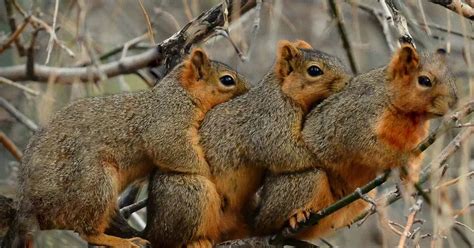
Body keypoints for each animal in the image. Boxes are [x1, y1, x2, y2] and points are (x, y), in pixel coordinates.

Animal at [0, 48, 252, 248]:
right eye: (227, 80)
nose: (250, 90)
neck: (180, 92)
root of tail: (28, 203)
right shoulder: (166, 121)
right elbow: (174, 149)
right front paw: (213, 179)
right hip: (95, 183)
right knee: (87, 231)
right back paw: (120, 241)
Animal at [254, 45, 458, 240]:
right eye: (425, 81)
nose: (453, 104)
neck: (411, 117)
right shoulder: (355, 120)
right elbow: (368, 147)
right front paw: (401, 161)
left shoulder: (417, 139)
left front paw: (411, 176)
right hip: (299, 183)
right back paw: (296, 216)